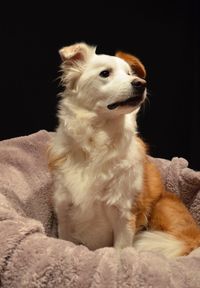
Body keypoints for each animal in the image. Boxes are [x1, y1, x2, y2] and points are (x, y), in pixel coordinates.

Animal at [48, 42, 200, 256]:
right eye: (105, 73)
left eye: (129, 73)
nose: (141, 83)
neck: (97, 140)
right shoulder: (64, 213)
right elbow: (65, 242)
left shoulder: (124, 214)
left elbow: (121, 250)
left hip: (163, 205)